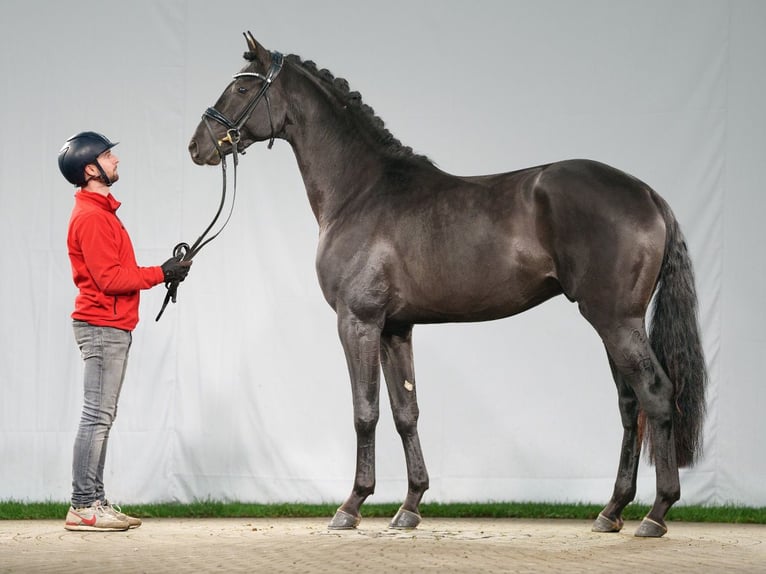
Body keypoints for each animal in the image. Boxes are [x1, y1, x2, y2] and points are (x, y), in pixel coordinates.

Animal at [190, 31, 708, 536]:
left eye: (242, 88)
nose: (198, 146)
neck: (361, 191)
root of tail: (648, 194)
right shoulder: (395, 328)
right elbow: (405, 412)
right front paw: (410, 506)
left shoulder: (357, 322)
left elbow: (365, 411)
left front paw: (352, 505)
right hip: (613, 323)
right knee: (629, 406)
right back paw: (612, 511)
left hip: (615, 321)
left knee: (656, 395)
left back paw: (656, 513)